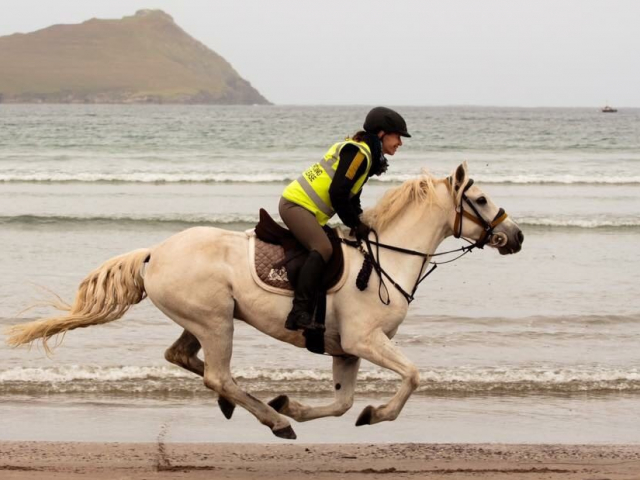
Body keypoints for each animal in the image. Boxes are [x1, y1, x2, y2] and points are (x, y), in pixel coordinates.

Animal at [6, 161, 524, 438]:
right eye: (479, 199)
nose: (515, 236)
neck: (388, 258)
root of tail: (154, 253)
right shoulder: (365, 340)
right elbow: (413, 376)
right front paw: (375, 415)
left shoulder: (346, 350)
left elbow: (341, 403)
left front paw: (298, 404)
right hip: (217, 322)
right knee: (217, 375)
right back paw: (271, 419)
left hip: (204, 320)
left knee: (183, 358)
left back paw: (256, 407)